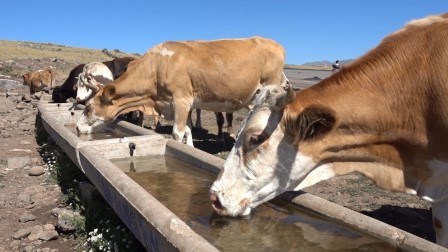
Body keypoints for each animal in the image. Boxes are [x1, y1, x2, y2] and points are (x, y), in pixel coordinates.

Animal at [75, 36, 288, 147]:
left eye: (88, 107)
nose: (76, 128)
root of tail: (273, 42)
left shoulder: (181, 101)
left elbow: (177, 133)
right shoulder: (182, 105)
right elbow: (187, 129)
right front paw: (191, 148)